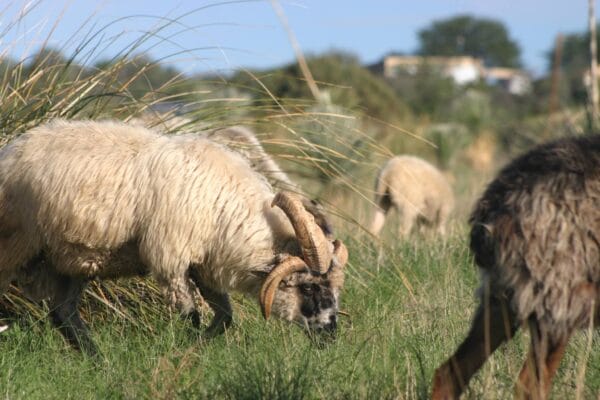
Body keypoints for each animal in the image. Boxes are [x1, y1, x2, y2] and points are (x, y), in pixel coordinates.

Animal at [0, 119, 346, 354]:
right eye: (309, 287)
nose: (331, 333)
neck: (228, 209)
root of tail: (10, 149)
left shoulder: (202, 264)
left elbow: (225, 317)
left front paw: (196, 349)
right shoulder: (171, 259)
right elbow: (191, 315)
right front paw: (183, 353)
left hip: (75, 257)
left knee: (64, 313)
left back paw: (98, 360)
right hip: (15, 245)